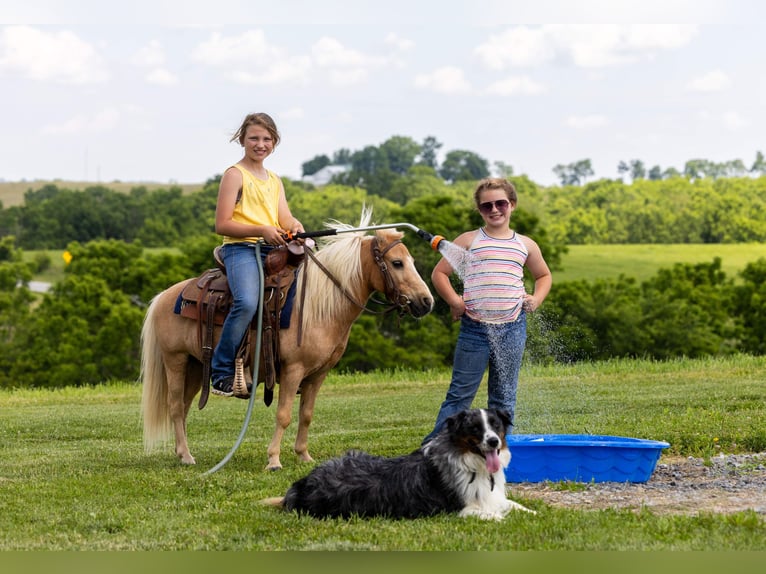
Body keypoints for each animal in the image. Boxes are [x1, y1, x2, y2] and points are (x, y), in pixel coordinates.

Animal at [140, 211, 434, 470]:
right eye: (397, 263)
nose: (426, 302)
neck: (319, 305)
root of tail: (165, 296)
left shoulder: (318, 375)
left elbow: (306, 415)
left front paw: (303, 455)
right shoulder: (293, 370)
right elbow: (284, 415)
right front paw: (273, 460)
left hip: (194, 366)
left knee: (184, 407)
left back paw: (181, 453)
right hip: (175, 361)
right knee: (175, 407)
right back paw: (187, 456)